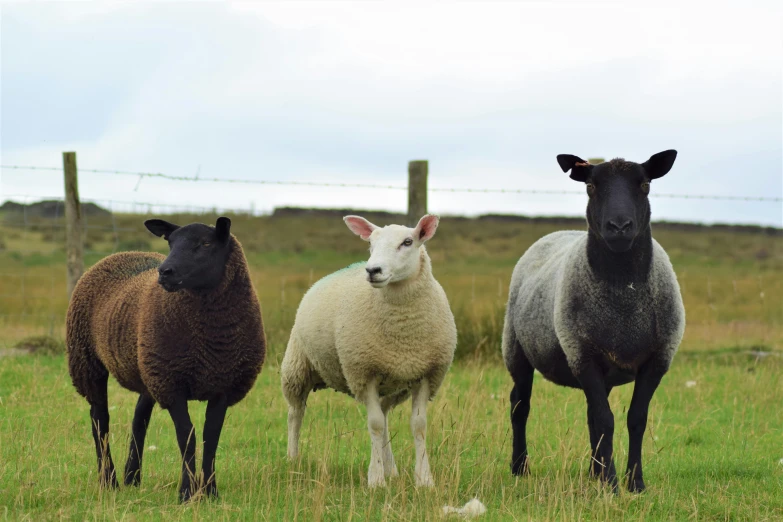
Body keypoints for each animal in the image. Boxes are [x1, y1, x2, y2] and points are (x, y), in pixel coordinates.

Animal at [66, 215, 266, 500]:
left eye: (206, 243)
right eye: (171, 243)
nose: (165, 272)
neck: (212, 338)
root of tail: (122, 253)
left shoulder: (223, 385)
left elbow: (211, 436)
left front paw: (210, 492)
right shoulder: (173, 384)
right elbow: (187, 435)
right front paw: (187, 492)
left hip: (148, 368)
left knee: (139, 418)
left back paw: (132, 477)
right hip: (87, 361)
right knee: (100, 420)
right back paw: (109, 480)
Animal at [280, 213, 456, 486]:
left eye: (408, 242)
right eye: (371, 243)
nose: (373, 270)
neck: (404, 333)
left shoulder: (426, 374)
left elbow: (418, 425)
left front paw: (424, 480)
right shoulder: (364, 372)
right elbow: (374, 425)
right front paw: (375, 480)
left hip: (394, 385)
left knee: (384, 415)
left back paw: (391, 469)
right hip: (297, 367)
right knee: (295, 413)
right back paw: (293, 458)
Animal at [506, 151, 684, 492]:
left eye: (645, 184)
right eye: (590, 187)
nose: (619, 226)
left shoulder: (657, 360)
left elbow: (634, 419)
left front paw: (634, 482)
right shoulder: (581, 354)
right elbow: (605, 421)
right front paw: (612, 484)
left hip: (606, 371)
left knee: (591, 416)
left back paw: (593, 472)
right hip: (516, 348)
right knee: (519, 405)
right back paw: (520, 467)